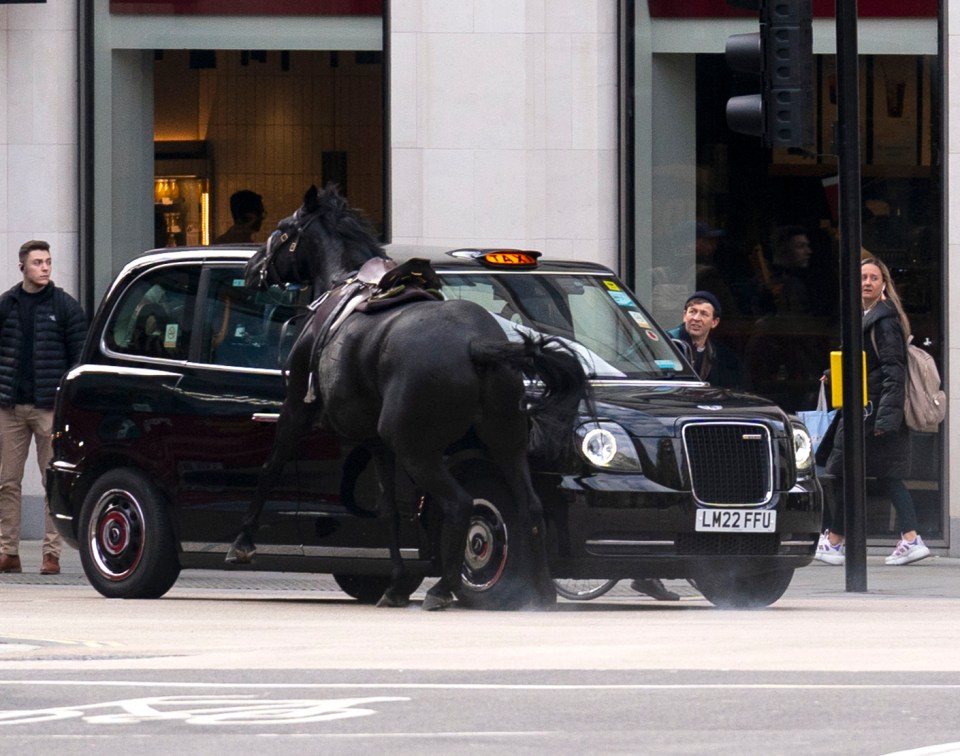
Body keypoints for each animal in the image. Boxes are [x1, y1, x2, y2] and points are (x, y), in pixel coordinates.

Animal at [227, 186, 584, 612]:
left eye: (282, 229)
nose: (251, 268)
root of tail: (476, 345)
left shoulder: (298, 408)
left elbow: (271, 468)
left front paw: (241, 542)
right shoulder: (376, 442)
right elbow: (391, 513)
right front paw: (396, 584)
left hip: (417, 449)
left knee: (461, 505)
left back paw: (443, 588)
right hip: (505, 441)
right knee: (530, 505)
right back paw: (542, 591)